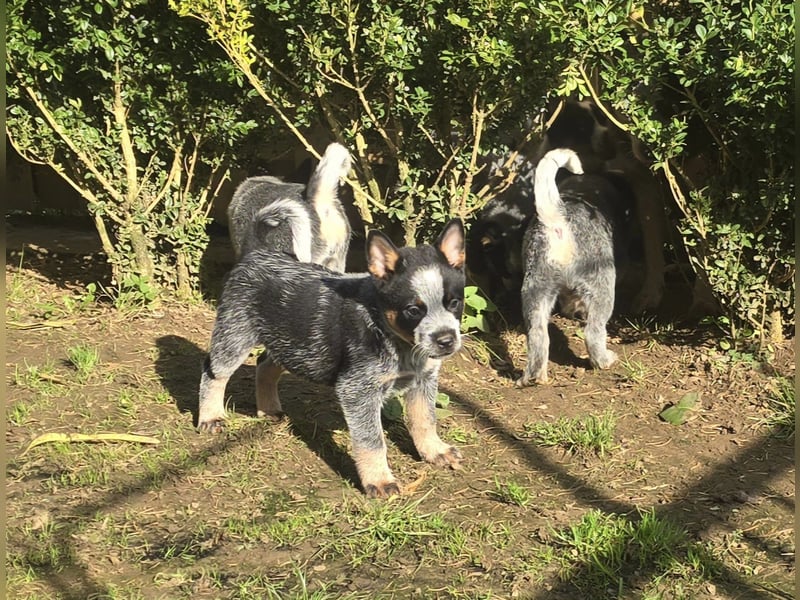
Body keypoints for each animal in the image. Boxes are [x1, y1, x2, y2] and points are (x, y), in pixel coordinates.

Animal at [196, 219, 466, 496]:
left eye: (454, 303)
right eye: (413, 310)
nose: (446, 340)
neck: (399, 342)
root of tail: (258, 251)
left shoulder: (424, 380)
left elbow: (426, 419)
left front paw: (435, 450)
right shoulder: (357, 390)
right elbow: (372, 440)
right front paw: (379, 479)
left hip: (292, 344)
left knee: (264, 366)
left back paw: (268, 408)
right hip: (236, 334)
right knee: (213, 372)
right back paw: (211, 416)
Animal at [516, 148, 636, 386]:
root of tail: (557, 221)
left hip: (535, 291)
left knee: (537, 337)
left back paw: (533, 377)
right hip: (601, 287)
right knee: (593, 331)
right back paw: (605, 360)